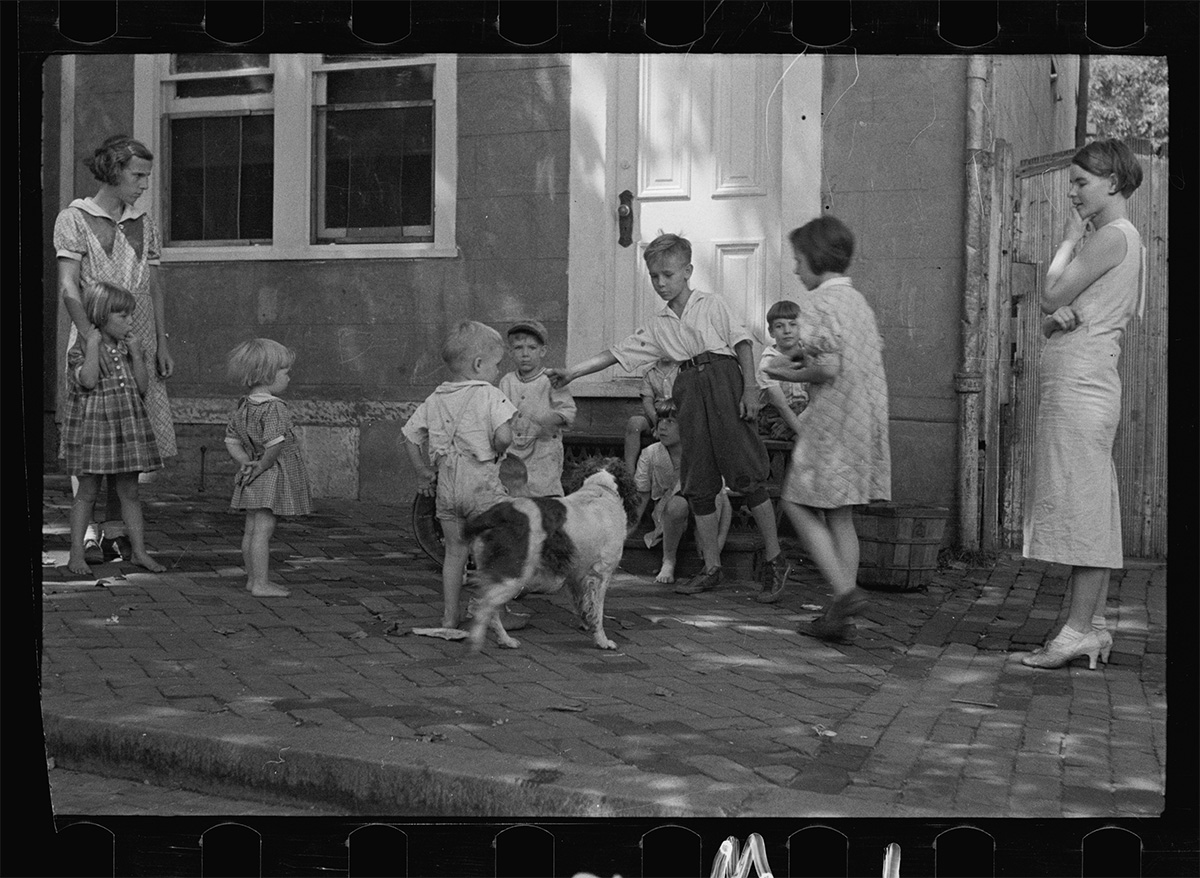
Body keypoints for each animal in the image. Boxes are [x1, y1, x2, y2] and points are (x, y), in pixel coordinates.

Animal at [463, 460, 643, 652]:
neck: (600, 488)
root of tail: (496, 516)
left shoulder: (576, 574)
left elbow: (583, 605)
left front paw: (586, 624)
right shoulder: (601, 575)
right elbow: (597, 612)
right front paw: (602, 640)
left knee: (487, 608)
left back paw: (504, 640)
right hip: (514, 575)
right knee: (483, 605)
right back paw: (479, 641)